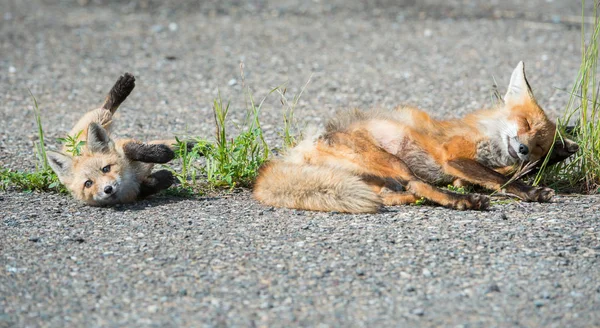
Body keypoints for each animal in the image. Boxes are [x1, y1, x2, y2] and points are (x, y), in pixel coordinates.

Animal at [45, 74, 177, 205]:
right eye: (88, 183)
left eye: (106, 169)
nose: (108, 189)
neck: (130, 174)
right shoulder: (133, 194)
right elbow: (146, 187)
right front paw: (165, 177)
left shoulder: (120, 145)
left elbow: (132, 149)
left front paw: (162, 153)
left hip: (100, 119)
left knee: (107, 107)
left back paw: (123, 86)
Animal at [254, 62, 580, 214]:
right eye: (525, 123)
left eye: (539, 146)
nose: (523, 149)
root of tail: (297, 151)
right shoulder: (453, 155)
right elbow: (501, 179)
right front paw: (530, 191)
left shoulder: (464, 171)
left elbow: (500, 175)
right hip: (392, 161)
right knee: (417, 183)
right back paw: (461, 201)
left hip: (378, 175)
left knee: (394, 192)